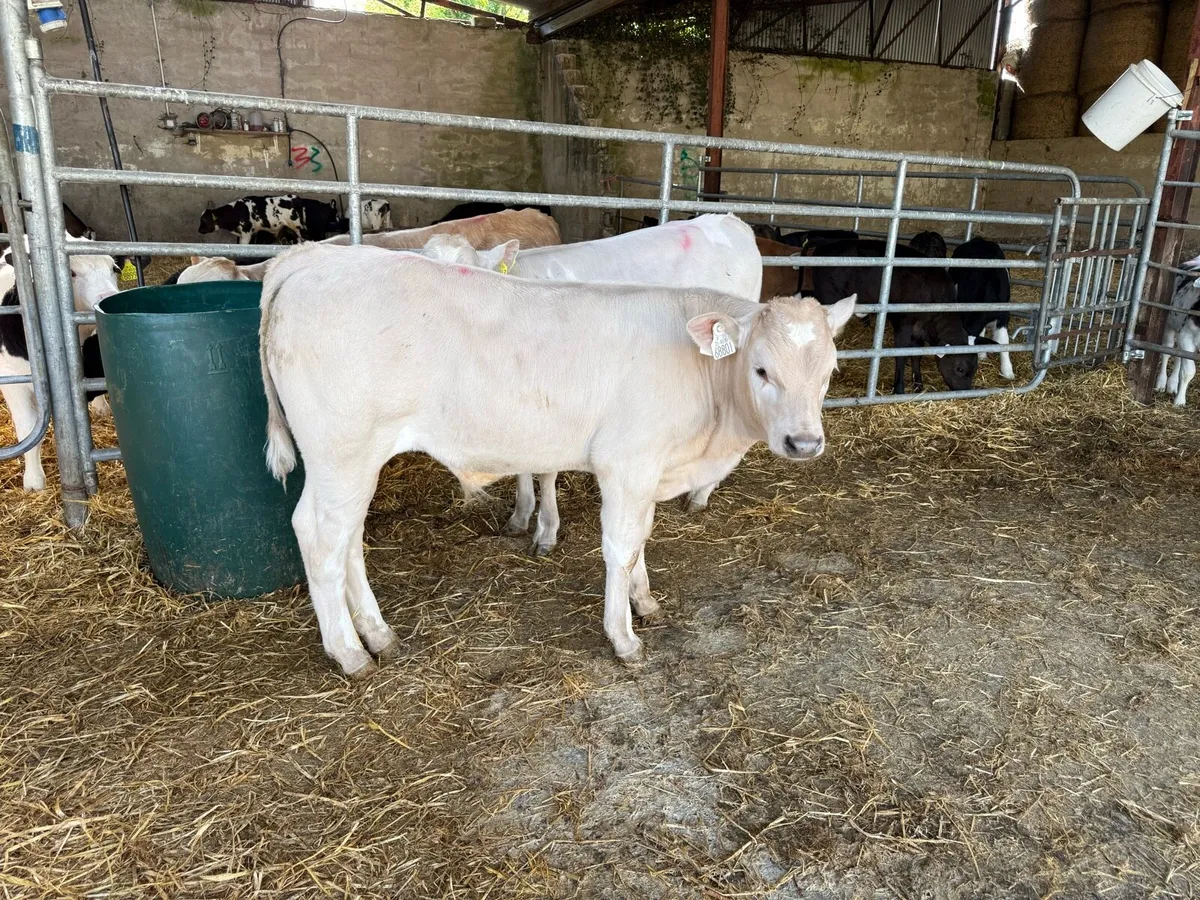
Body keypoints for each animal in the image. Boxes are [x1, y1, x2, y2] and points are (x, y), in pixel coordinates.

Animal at [1, 237, 118, 490]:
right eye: (71, 272)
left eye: (114, 268)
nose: (107, 296)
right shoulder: (12, 381)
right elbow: (28, 428)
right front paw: (34, 480)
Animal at [258, 241, 857, 677]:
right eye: (761, 369)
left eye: (829, 369)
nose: (804, 443)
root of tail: (319, 258)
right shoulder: (626, 462)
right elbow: (620, 546)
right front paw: (623, 636)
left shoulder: (650, 468)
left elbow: (641, 537)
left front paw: (644, 601)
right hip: (341, 452)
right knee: (319, 536)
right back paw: (349, 652)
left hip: (356, 462)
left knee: (348, 538)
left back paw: (379, 635)